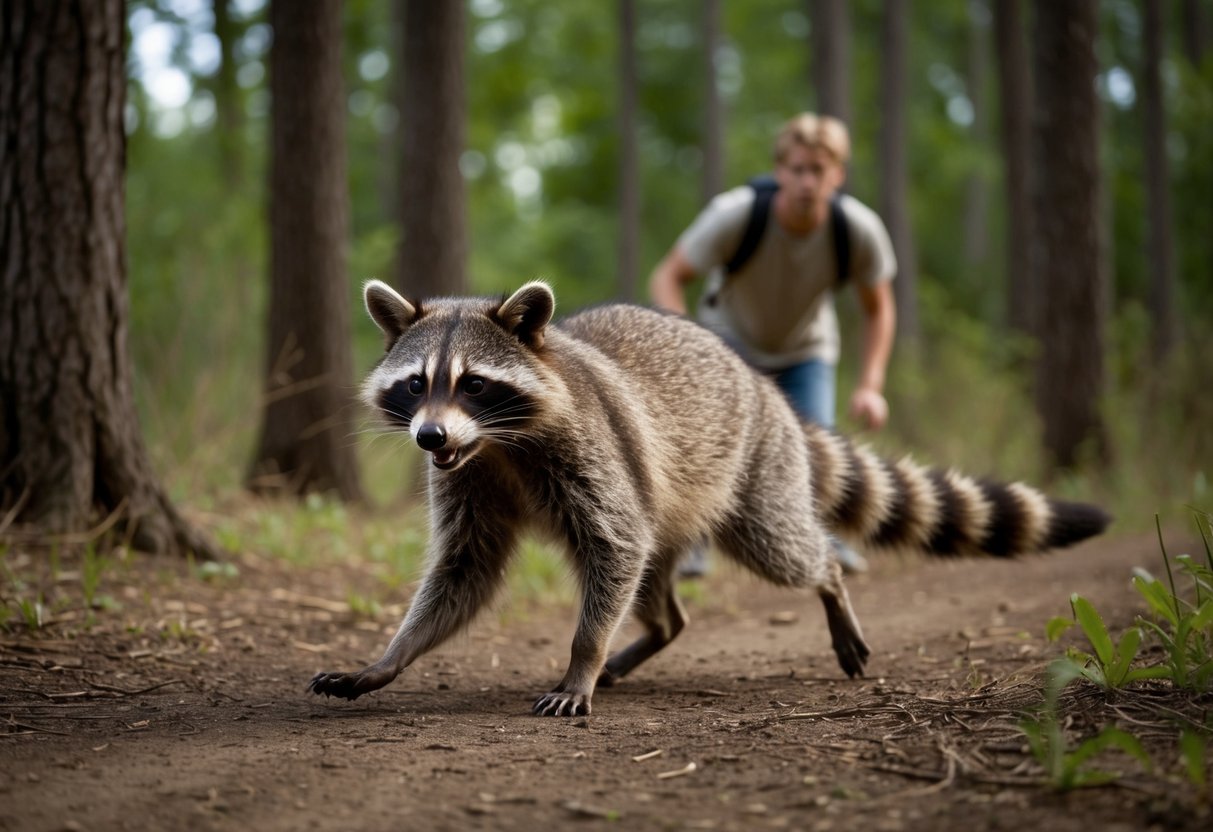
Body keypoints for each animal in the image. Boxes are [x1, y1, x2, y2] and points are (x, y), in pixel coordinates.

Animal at [308, 280, 1110, 716]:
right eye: (417, 383)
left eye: (474, 383)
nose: (428, 436)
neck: (495, 445)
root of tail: (762, 384)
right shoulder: (467, 479)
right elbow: (462, 572)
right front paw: (389, 656)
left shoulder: (588, 451)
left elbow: (613, 546)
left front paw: (582, 656)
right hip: (672, 499)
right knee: (655, 583)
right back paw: (652, 633)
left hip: (752, 473)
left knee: (781, 550)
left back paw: (828, 584)